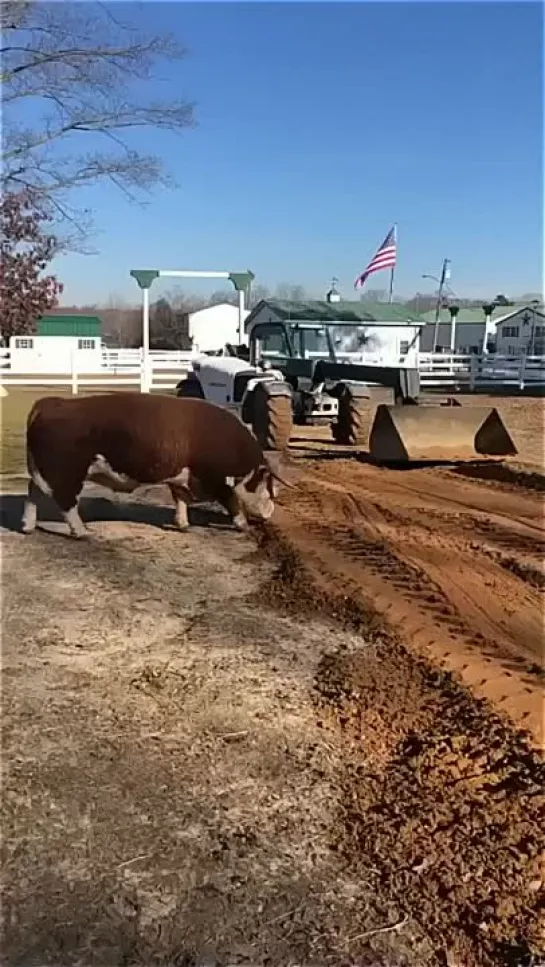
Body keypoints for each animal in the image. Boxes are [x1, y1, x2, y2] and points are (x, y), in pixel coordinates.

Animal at [22, 394, 292, 540]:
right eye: (268, 484)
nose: (270, 512)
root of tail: (51, 403)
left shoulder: (181, 476)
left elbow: (180, 498)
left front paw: (183, 524)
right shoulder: (213, 478)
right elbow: (232, 500)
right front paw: (243, 525)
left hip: (43, 470)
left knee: (33, 492)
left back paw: (27, 527)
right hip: (68, 472)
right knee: (66, 502)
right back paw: (82, 531)